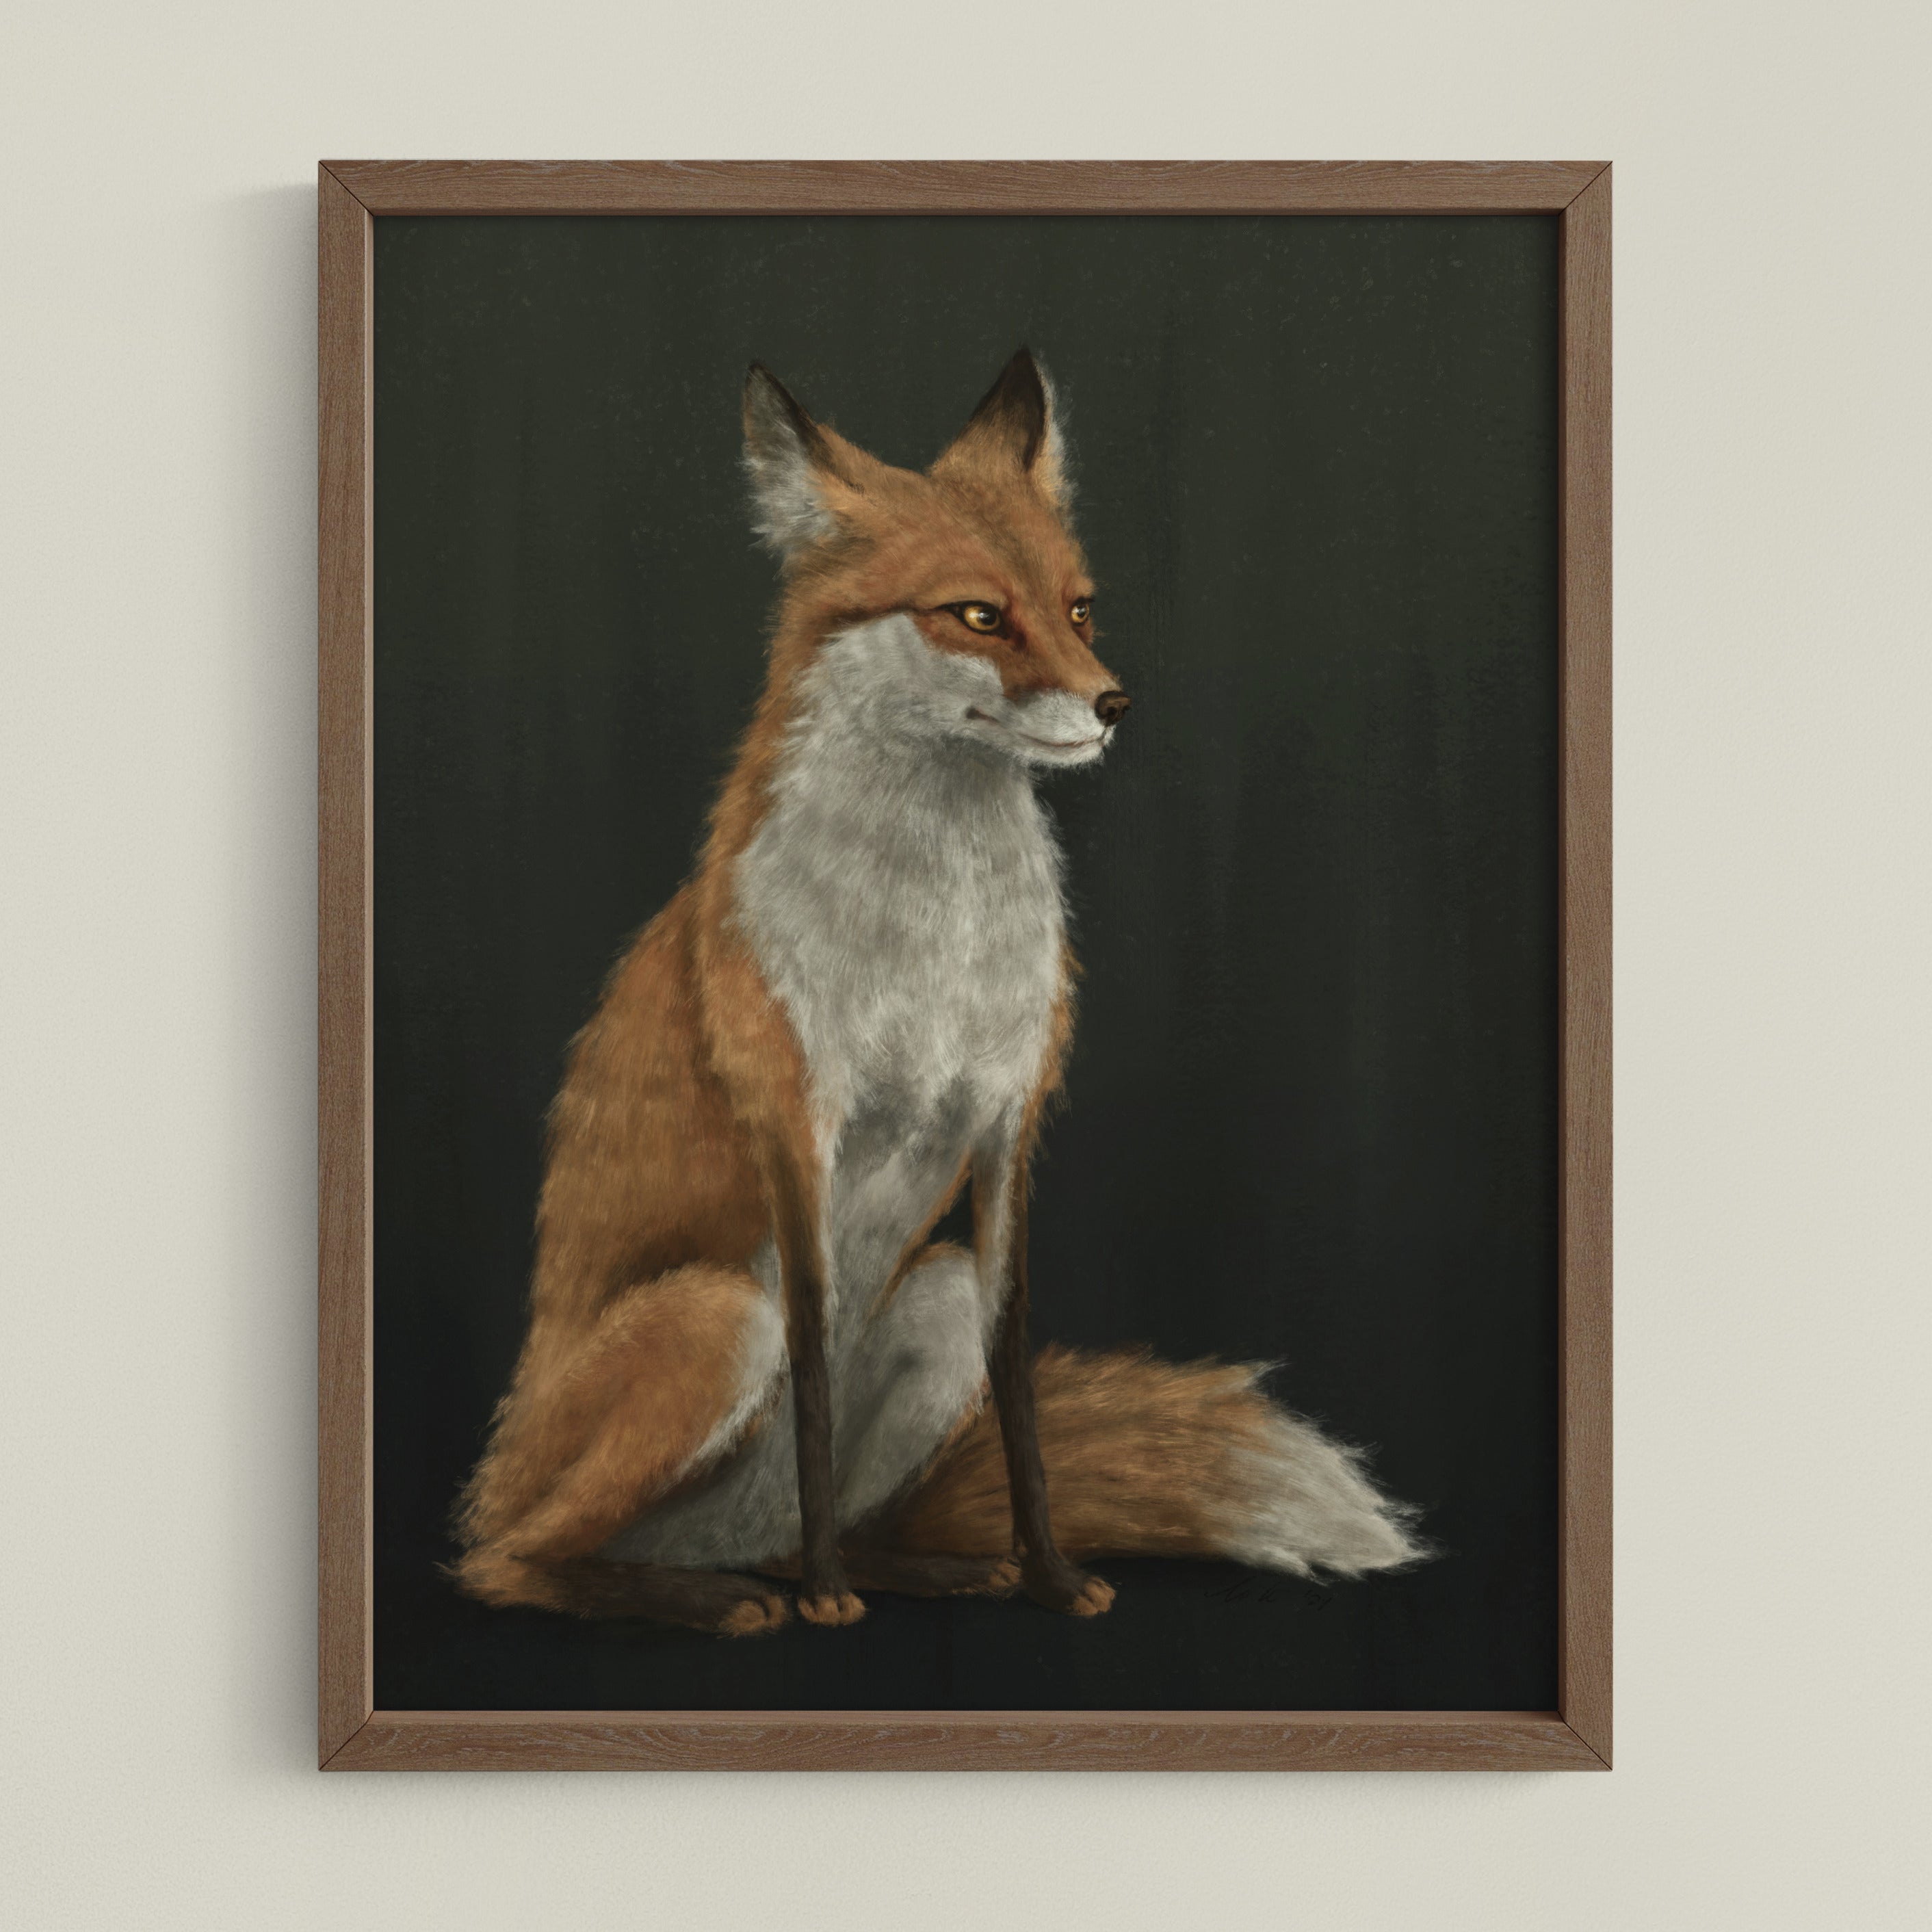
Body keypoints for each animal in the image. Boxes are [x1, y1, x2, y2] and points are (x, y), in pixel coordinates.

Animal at [451, 349, 1424, 1635]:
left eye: (1078, 608)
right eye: (976, 614)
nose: (1114, 703)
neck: (935, 942)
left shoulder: (1009, 1122)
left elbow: (1017, 1389)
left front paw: (1048, 1574)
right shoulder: (797, 1125)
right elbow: (814, 1373)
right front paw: (830, 1599)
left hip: (933, 1296)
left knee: (787, 1525)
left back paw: (905, 1568)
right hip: (715, 1318)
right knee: (510, 1562)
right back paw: (726, 1595)